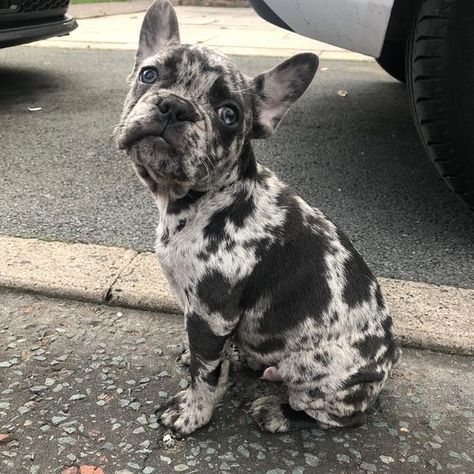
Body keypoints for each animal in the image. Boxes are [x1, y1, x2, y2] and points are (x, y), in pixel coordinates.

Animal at [115, 0, 400, 436]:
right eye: (149, 74)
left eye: (229, 114)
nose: (176, 106)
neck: (202, 200)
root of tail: (384, 371)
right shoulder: (204, 315)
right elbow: (209, 358)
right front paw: (206, 363)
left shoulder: (211, 313)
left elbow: (205, 374)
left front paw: (193, 413)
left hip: (317, 374)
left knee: (326, 415)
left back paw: (275, 411)